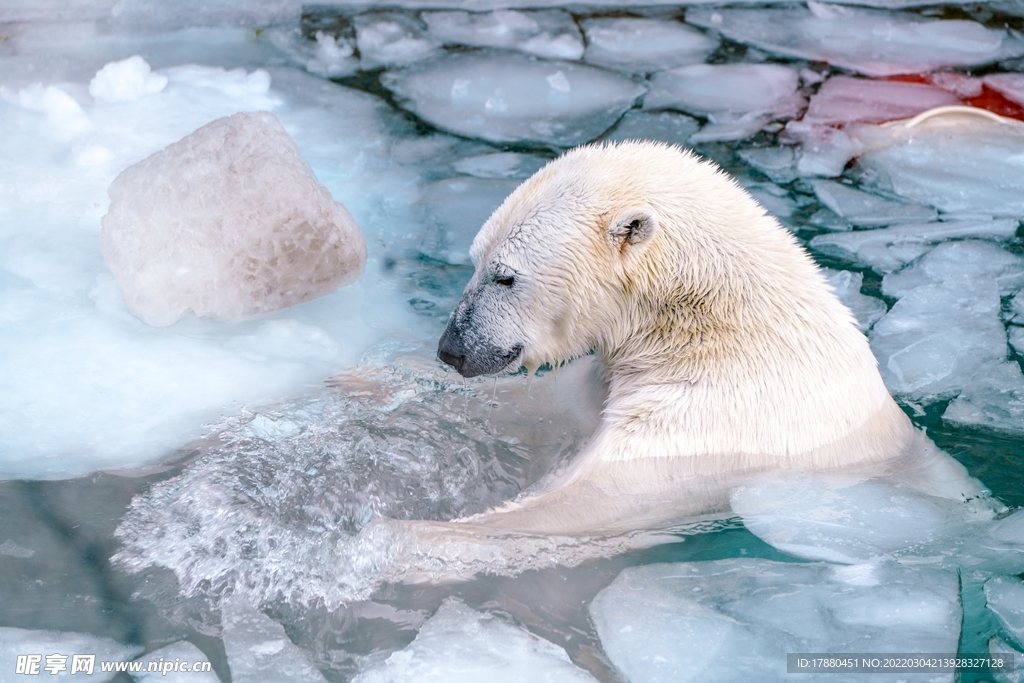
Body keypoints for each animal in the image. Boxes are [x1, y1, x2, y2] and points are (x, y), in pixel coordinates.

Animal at [425, 141, 983, 536]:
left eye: (505, 276)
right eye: (475, 260)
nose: (452, 350)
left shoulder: (714, 421)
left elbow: (595, 497)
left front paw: (411, 541)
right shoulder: (601, 383)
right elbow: (541, 407)